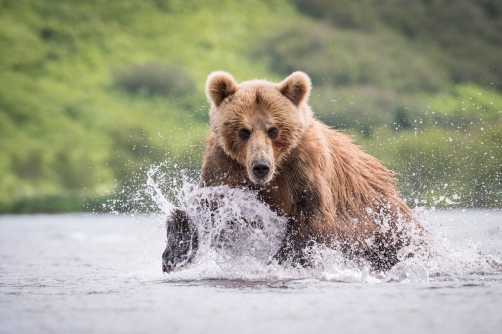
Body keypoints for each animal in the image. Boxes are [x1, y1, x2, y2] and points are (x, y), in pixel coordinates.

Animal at [163, 72, 422, 272]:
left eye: (273, 130)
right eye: (243, 131)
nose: (260, 166)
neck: (276, 169)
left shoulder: (304, 166)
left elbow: (312, 219)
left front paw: (281, 261)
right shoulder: (224, 164)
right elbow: (210, 207)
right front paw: (175, 254)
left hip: (385, 223)